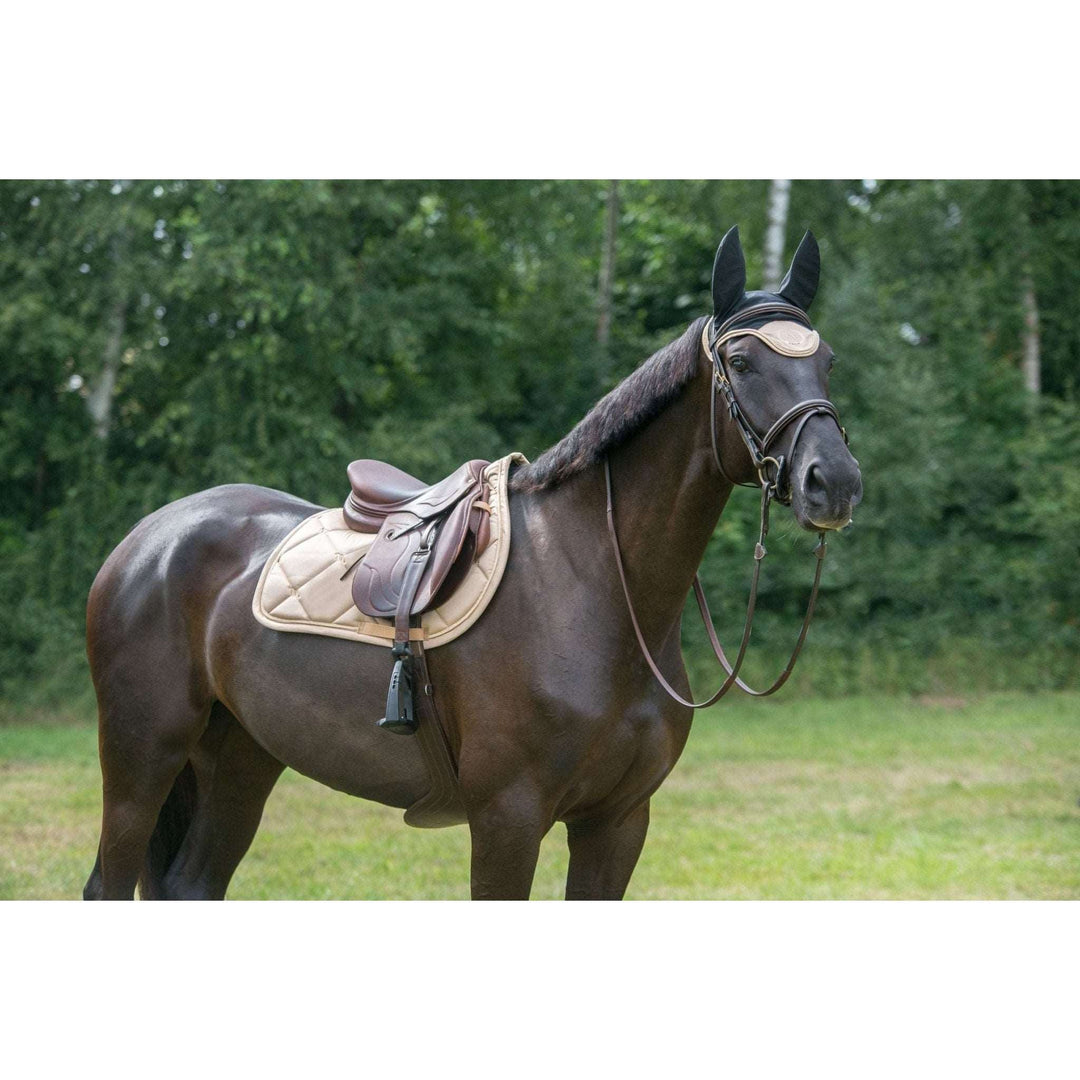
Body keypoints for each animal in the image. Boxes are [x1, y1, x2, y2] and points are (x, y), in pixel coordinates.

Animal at [82, 225, 862, 900]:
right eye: (742, 362)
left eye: (826, 362)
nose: (835, 482)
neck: (598, 590)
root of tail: (149, 539)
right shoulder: (507, 820)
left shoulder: (617, 822)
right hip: (143, 754)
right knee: (108, 883)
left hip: (239, 757)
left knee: (191, 884)